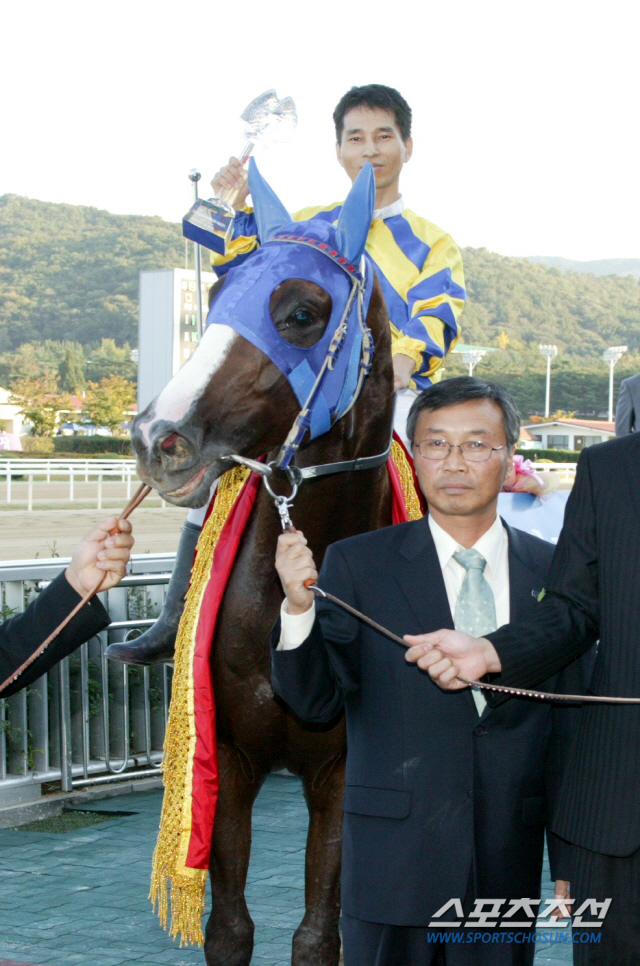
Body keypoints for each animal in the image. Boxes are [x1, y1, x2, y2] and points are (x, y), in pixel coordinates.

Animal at [131, 163, 396, 964]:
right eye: (216, 294)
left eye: (301, 312)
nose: (158, 435)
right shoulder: (228, 759)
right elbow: (230, 929)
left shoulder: (341, 772)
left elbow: (318, 935)